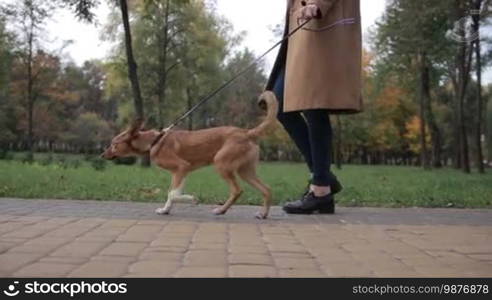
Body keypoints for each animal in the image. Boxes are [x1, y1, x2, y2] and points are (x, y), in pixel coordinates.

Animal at [102, 91, 278, 218]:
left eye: (114, 144)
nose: (102, 156)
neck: (154, 141)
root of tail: (247, 132)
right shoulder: (181, 172)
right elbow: (172, 193)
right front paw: (165, 210)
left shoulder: (181, 167)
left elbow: (172, 193)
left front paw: (192, 200)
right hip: (245, 171)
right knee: (266, 189)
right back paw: (263, 214)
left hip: (222, 164)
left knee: (237, 190)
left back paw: (221, 210)